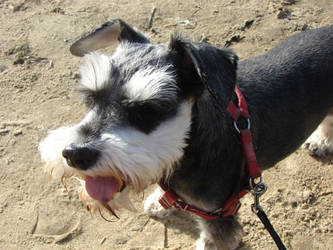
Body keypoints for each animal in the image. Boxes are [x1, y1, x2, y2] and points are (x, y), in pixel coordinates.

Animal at [39, 20, 332, 250]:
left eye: (148, 109)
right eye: (90, 97)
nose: (75, 154)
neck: (190, 146)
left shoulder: (219, 214)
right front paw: (160, 201)